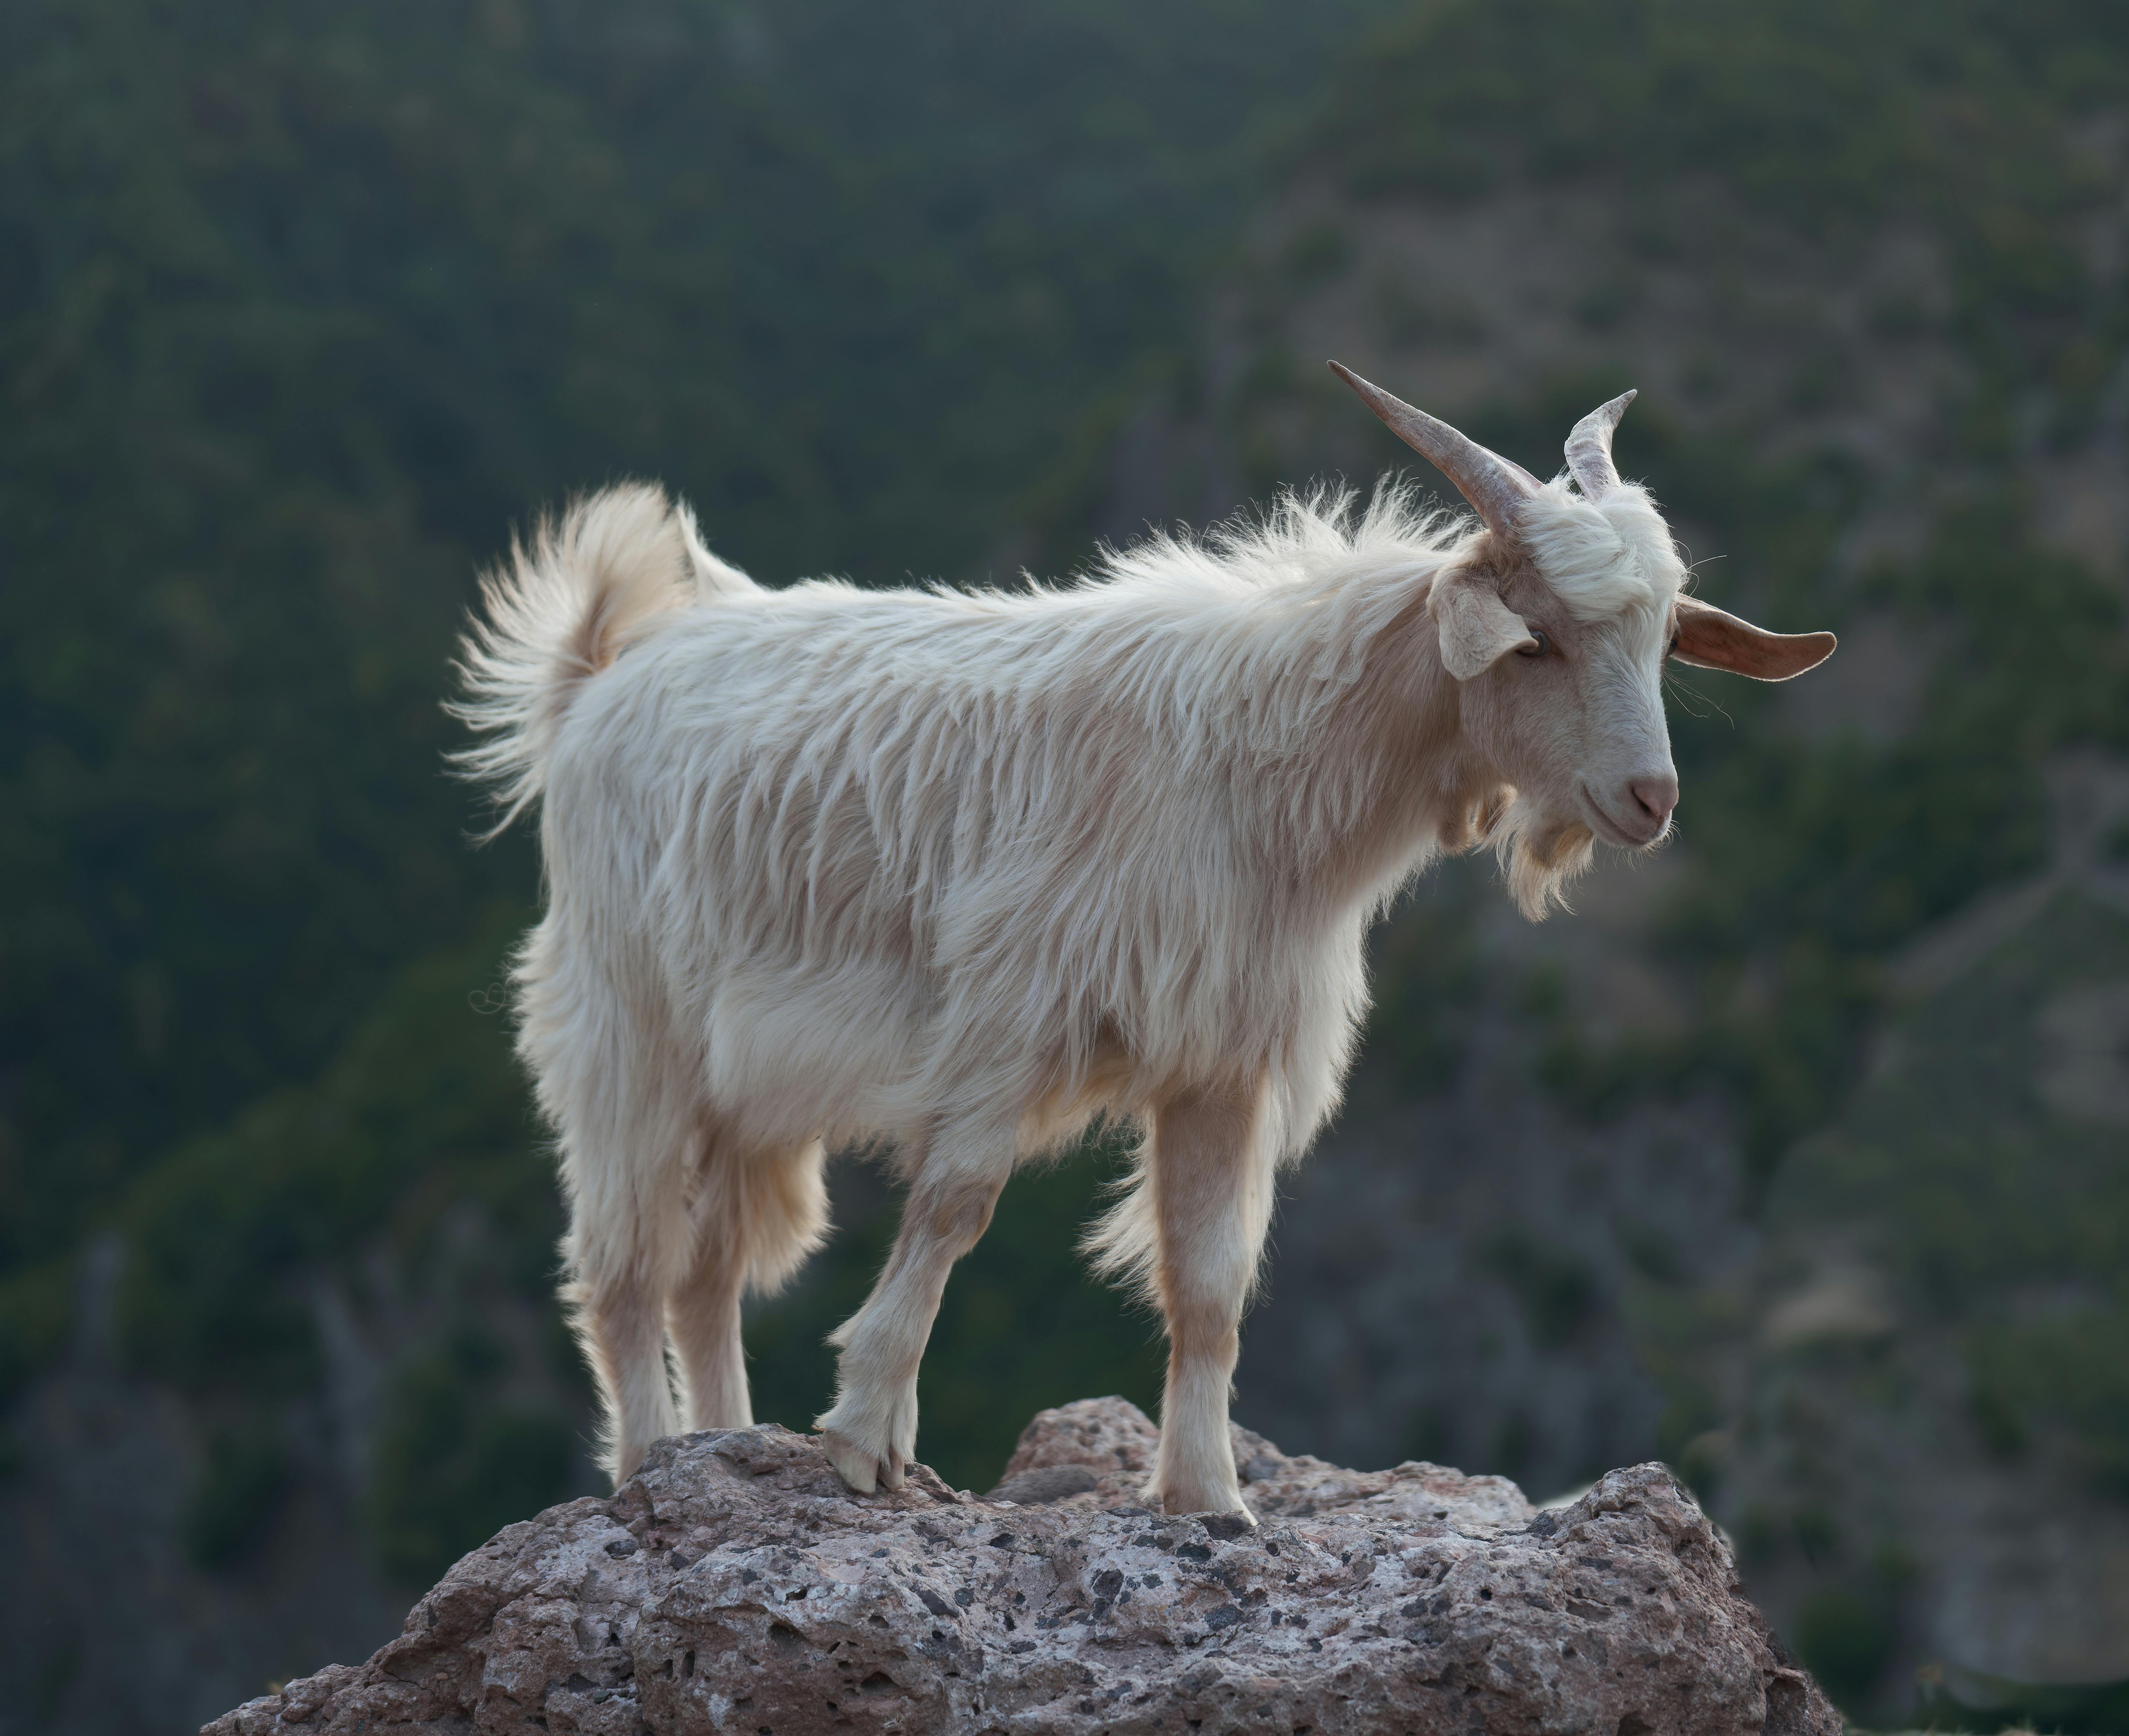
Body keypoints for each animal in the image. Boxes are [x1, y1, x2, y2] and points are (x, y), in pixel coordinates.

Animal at [451, 367, 1834, 1515]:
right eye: (1537, 637)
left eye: (1661, 637)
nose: (1648, 799)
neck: (1257, 770)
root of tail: (602, 674)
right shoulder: (1006, 1017)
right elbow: (954, 1206)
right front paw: (862, 1438)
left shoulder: (1223, 1058)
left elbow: (1212, 1280)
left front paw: (1208, 1498)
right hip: (627, 1027)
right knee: (623, 1266)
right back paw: (650, 1465)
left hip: (745, 1083)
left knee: (706, 1270)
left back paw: (721, 1448)